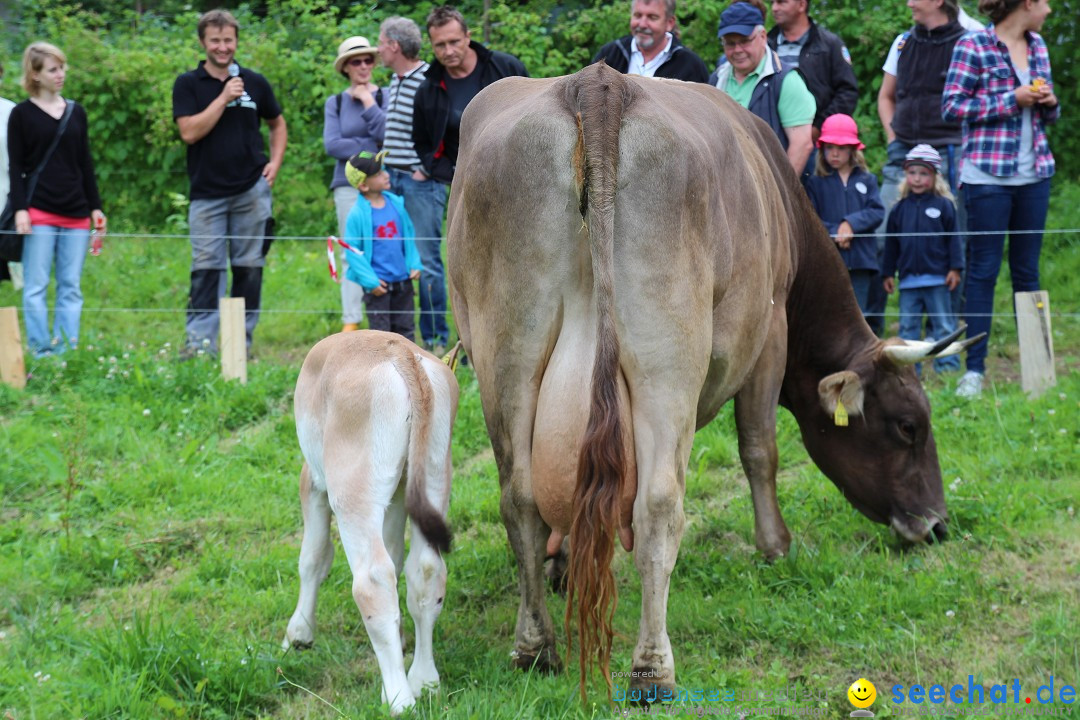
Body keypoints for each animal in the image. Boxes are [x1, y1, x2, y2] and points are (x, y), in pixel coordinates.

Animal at [282, 330, 455, 716]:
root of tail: (401, 353)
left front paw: (299, 633)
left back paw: (399, 697)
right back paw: (424, 679)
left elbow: (313, 557)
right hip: (433, 474)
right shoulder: (398, 495)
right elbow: (395, 552)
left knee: (372, 580)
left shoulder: (312, 480)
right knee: (425, 571)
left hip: (352, 493)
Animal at [444, 64, 980, 699]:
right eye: (908, 427)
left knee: (521, 498)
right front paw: (776, 548)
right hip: (666, 358)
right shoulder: (770, 333)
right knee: (658, 504)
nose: (936, 525)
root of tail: (597, 84)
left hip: (506, 353)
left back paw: (535, 647)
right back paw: (653, 668)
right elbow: (760, 449)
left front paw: (564, 565)